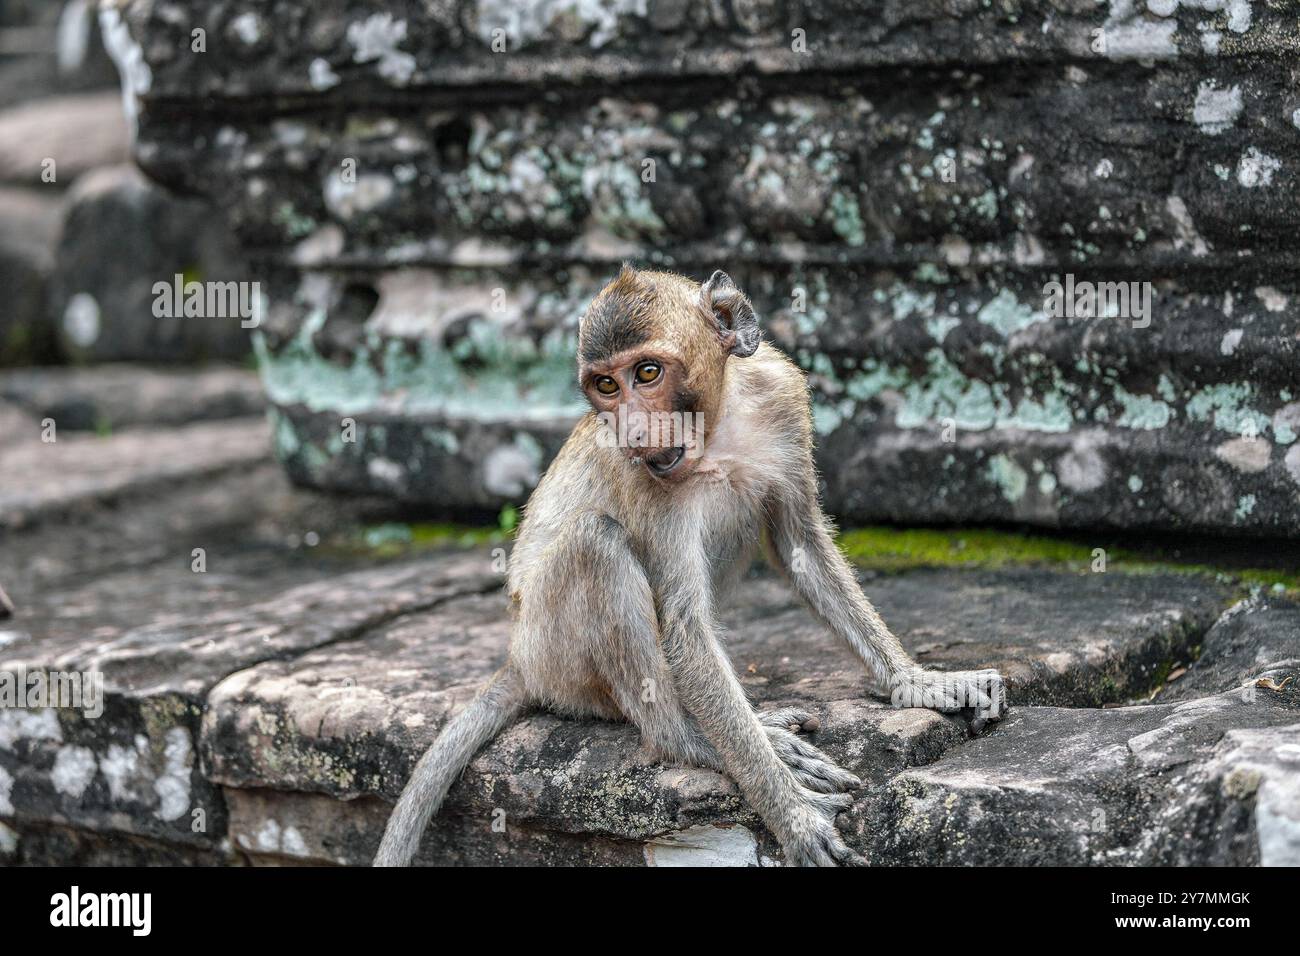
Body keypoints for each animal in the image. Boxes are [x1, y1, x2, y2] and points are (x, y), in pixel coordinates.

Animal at [374, 266, 1006, 867]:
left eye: (647, 373)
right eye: (607, 385)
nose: (631, 429)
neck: (719, 429)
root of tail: (517, 659)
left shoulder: (782, 399)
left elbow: (802, 548)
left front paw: (921, 683)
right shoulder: (642, 477)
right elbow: (684, 626)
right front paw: (791, 814)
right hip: (555, 656)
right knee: (597, 542)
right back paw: (691, 740)